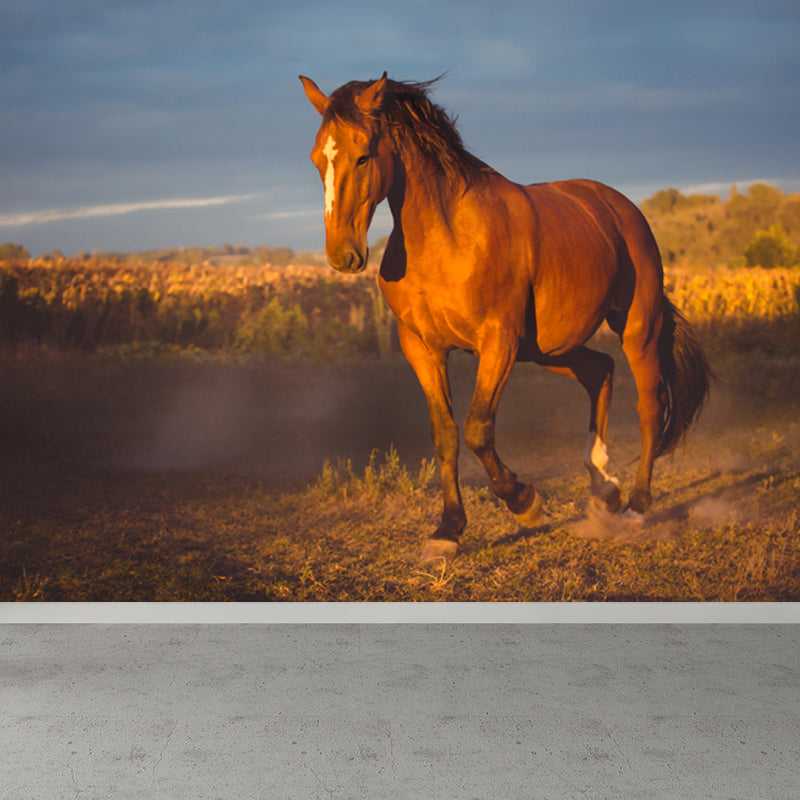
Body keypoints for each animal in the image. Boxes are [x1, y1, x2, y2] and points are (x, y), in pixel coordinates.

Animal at [300, 72, 712, 562]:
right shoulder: (422, 347)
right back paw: (605, 488)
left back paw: (635, 506)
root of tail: (620, 208)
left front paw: (525, 502)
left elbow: (478, 428)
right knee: (601, 372)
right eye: (316, 158)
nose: (342, 255)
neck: (447, 237)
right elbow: (445, 434)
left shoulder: (498, 341)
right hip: (548, 349)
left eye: (363, 154)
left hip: (636, 329)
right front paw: (447, 530)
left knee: (650, 406)